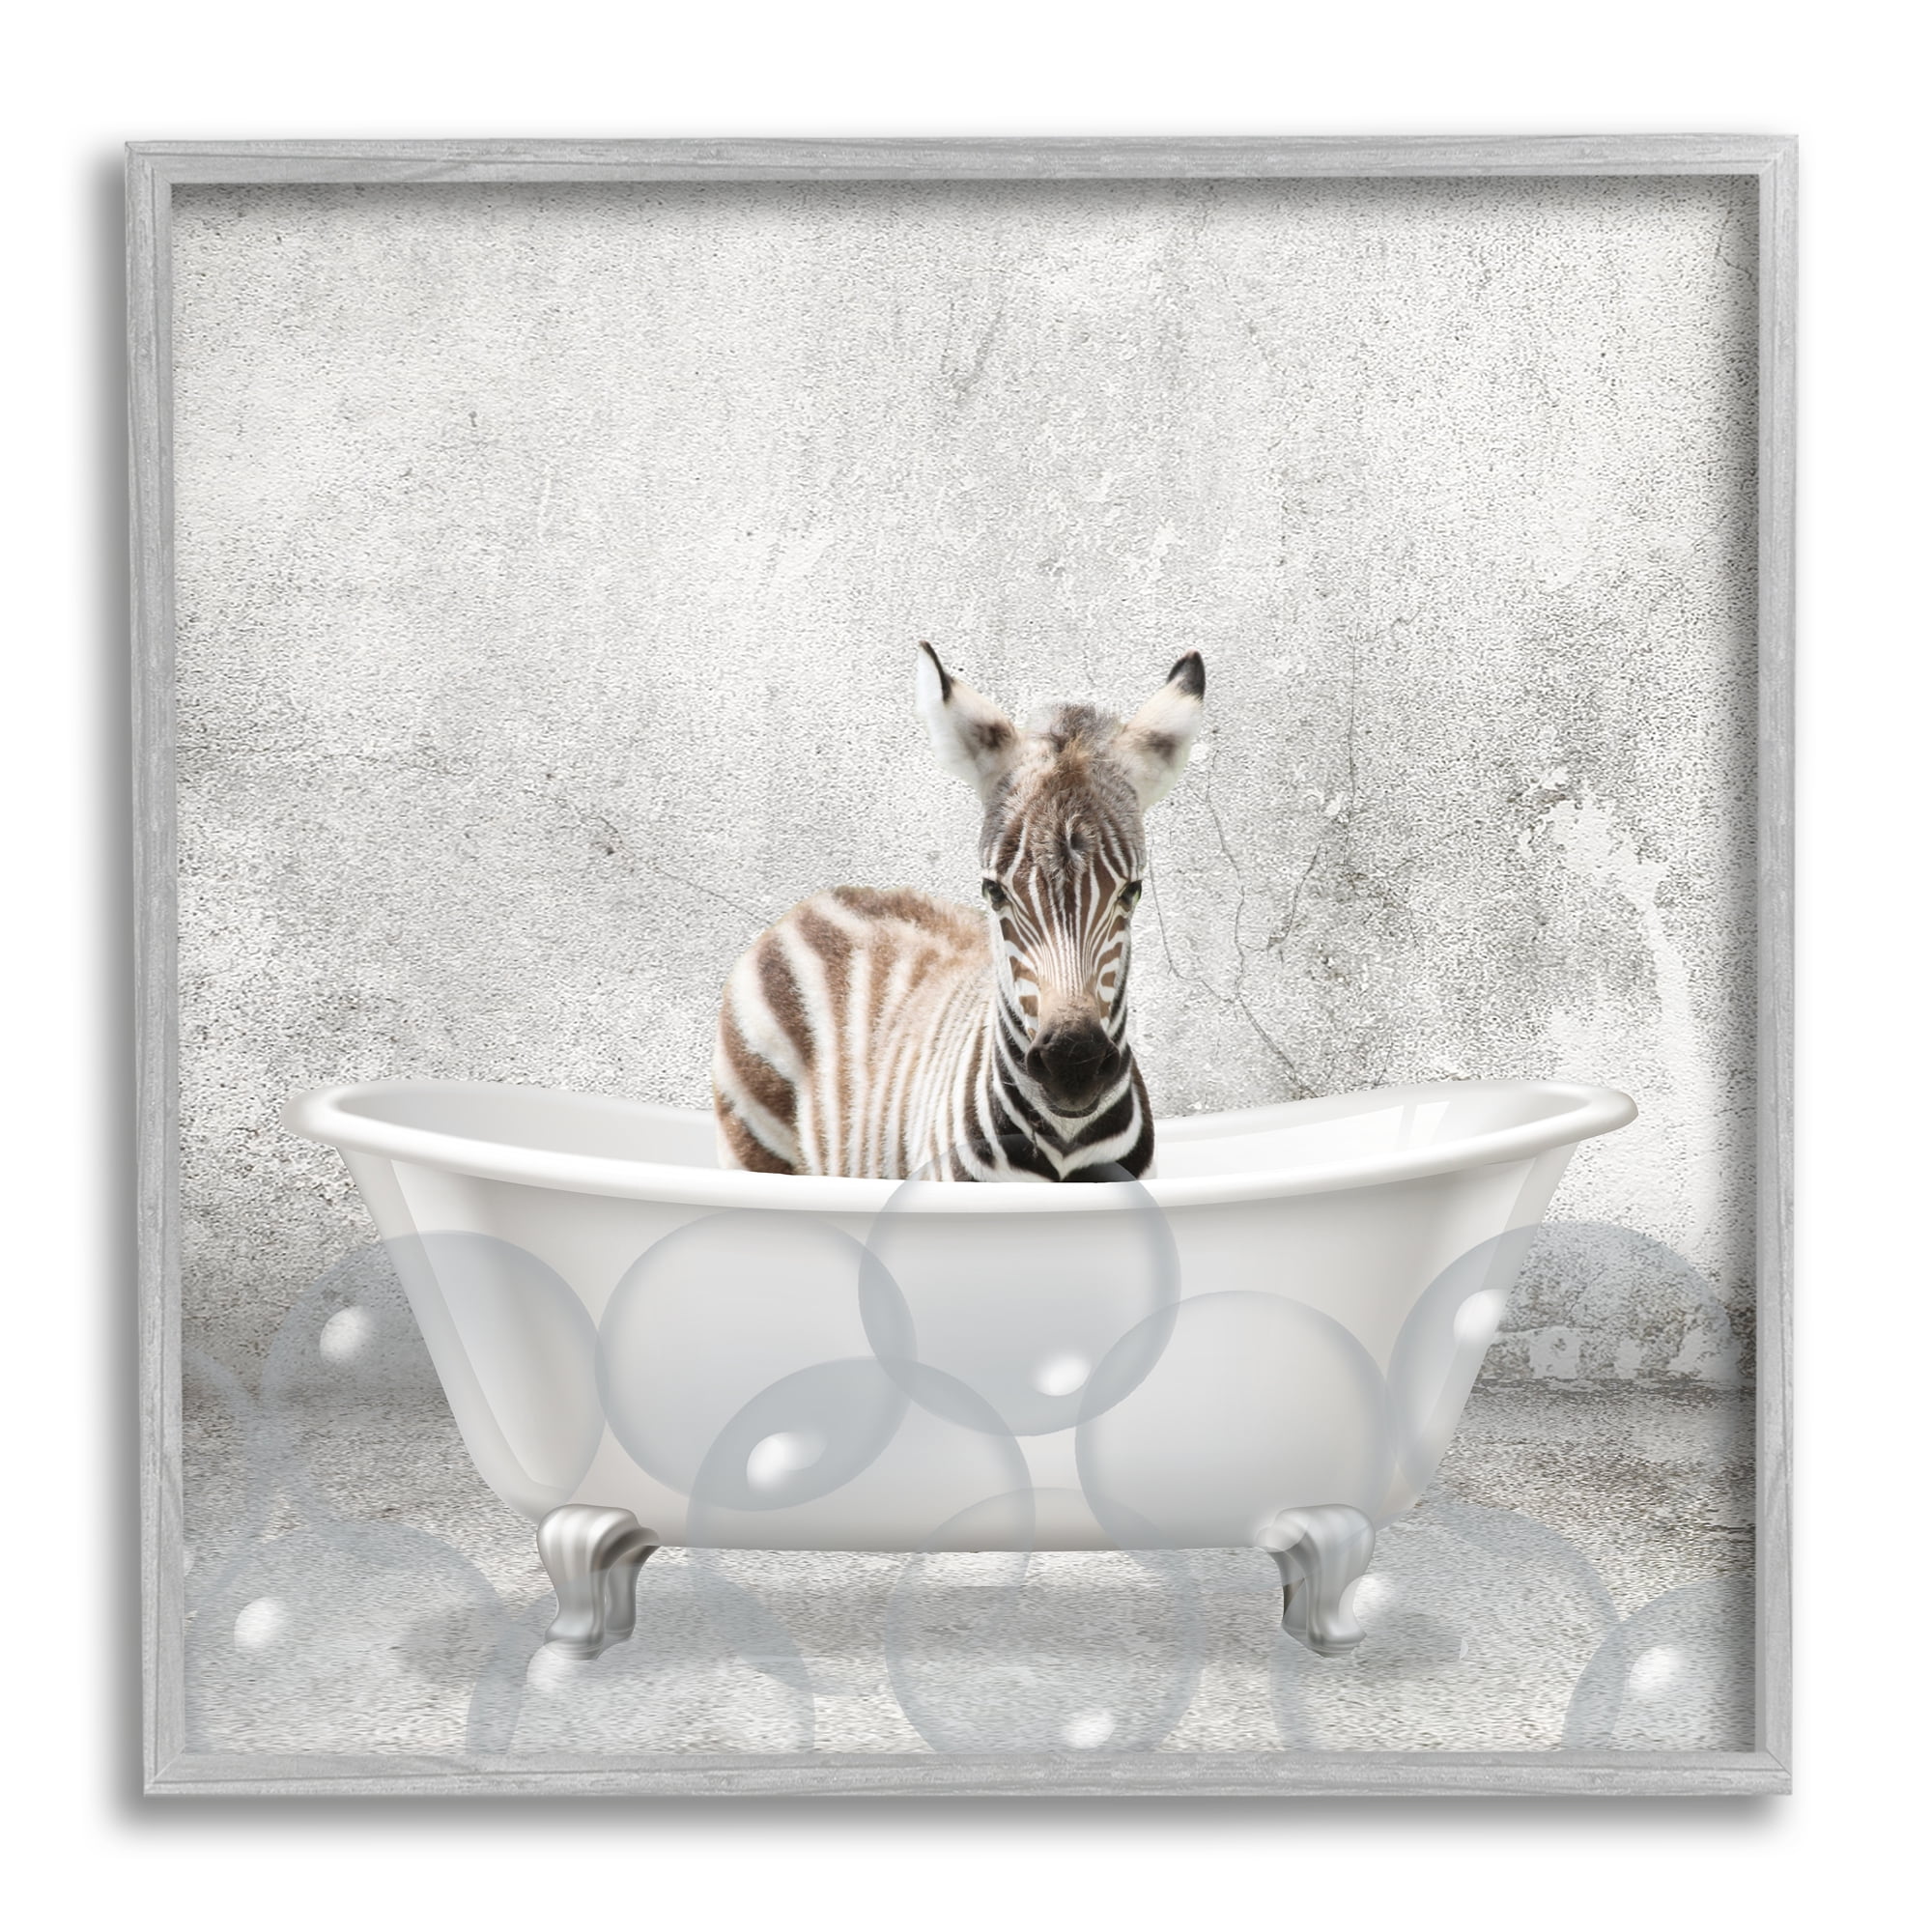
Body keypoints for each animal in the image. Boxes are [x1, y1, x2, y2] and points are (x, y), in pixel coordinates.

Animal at [712, 643, 1206, 1182]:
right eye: (994, 891)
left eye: (1131, 892)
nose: (1072, 1066)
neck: (1066, 1141)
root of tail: (819, 898)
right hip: (754, 1141)